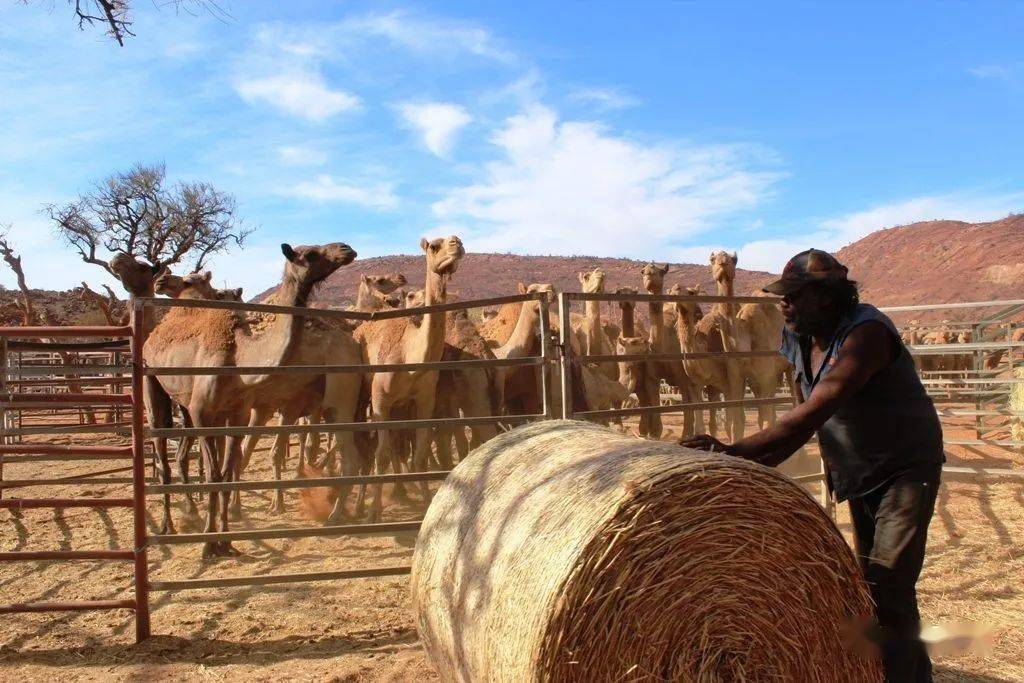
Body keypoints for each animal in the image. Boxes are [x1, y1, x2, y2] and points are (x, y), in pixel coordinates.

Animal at [136, 242, 358, 557]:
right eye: (310, 253)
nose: (346, 248)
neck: (240, 357)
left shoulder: (240, 412)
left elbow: (229, 468)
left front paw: (225, 539)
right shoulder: (210, 413)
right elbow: (217, 473)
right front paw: (212, 542)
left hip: (337, 404)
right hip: (153, 382)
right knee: (164, 451)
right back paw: (169, 526)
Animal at [352, 235, 464, 524]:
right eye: (434, 246)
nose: (456, 243)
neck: (410, 358)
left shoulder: (424, 401)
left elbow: (420, 455)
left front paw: (426, 505)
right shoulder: (380, 400)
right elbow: (381, 455)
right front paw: (373, 513)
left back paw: (401, 491)